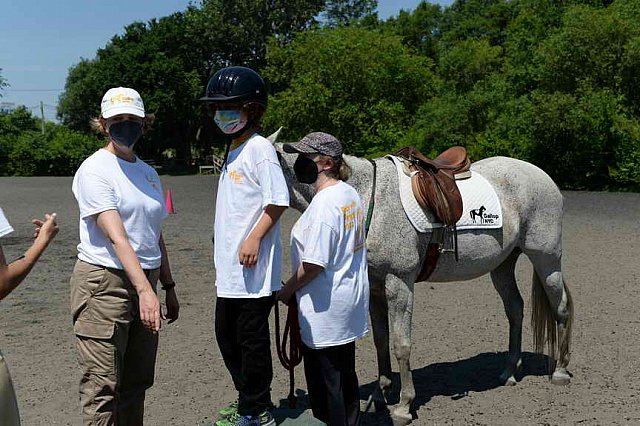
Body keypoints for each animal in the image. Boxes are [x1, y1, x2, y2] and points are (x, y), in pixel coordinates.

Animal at [272, 139, 572, 422]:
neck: (368, 198)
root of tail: (541, 175)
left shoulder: (399, 283)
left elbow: (401, 344)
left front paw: (404, 406)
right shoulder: (375, 286)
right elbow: (381, 341)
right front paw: (380, 395)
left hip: (546, 258)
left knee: (560, 307)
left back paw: (560, 371)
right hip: (502, 265)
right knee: (515, 310)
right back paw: (508, 371)